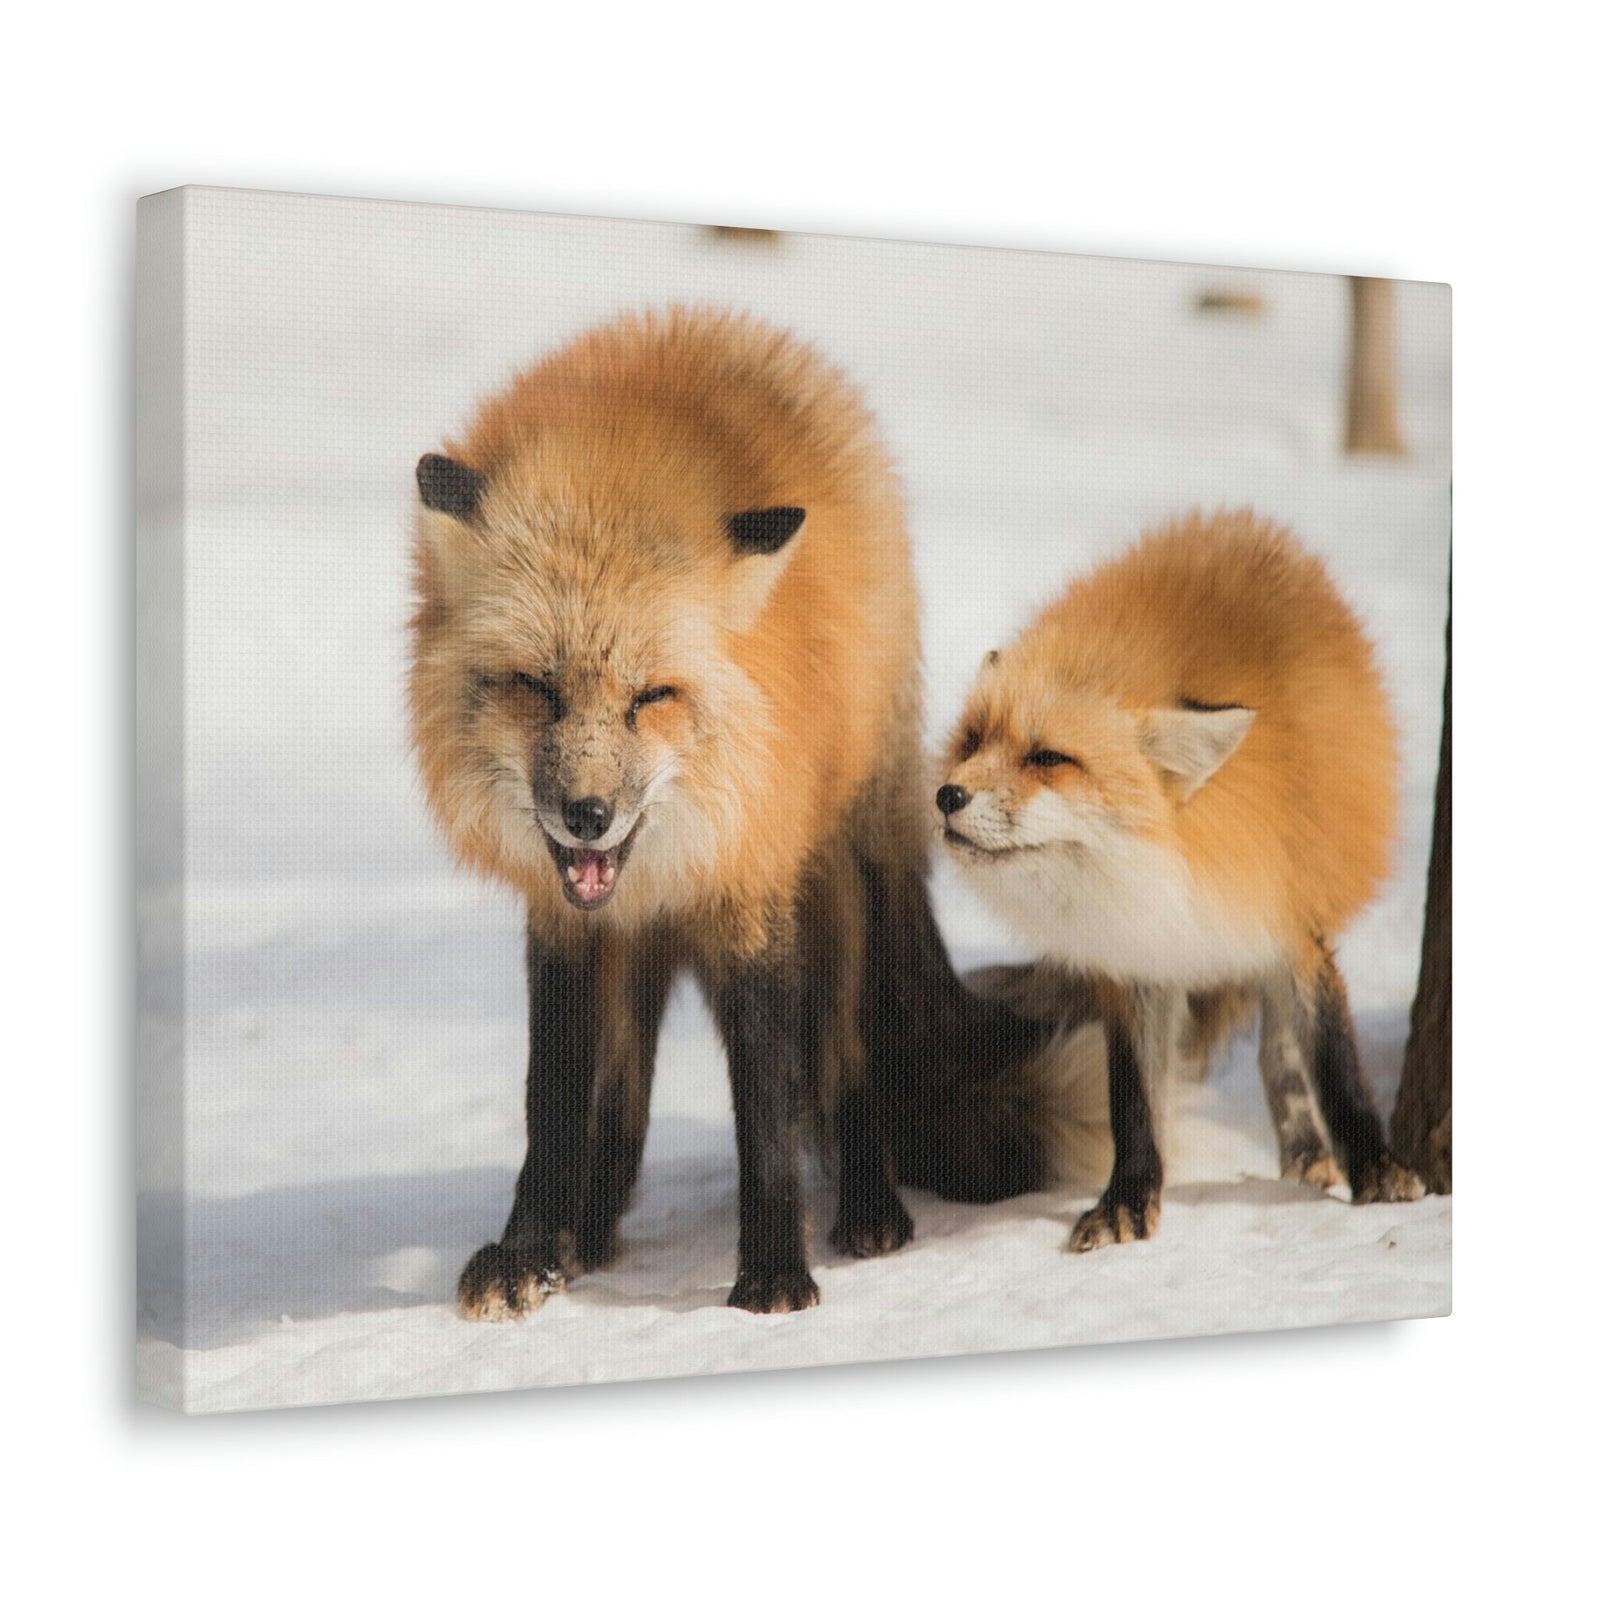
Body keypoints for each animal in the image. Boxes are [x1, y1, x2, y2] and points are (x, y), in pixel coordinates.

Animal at [408, 307, 1079, 1318]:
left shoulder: (751, 889)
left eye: (651, 696)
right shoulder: (565, 924)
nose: (587, 815)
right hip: (644, 954)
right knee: (625, 1100)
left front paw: (772, 1272)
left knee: (846, 1061)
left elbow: (767, 1093)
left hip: (838, 889)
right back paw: (587, 1233)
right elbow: (552, 1103)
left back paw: (870, 1209)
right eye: (536, 688)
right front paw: (529, 1255)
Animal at [936, 510, 1425, 1253]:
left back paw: (1308, 1152)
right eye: (972, 741)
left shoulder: (1291, 919)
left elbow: (1335, 1063)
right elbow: (1133, 1100)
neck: (1174, 868)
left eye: (1048, 758)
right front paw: (1130, 1200)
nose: (947, 796)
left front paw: (1376, 1170)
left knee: (1280, 1053)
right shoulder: (1138, 959)